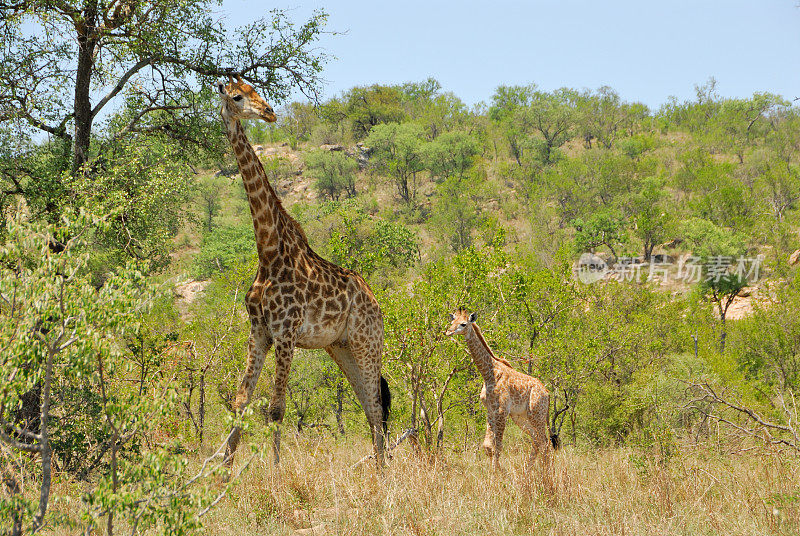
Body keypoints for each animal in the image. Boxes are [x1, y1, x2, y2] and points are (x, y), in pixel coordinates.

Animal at [216, 77, 390, 466]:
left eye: (254, 92)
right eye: (237, 96)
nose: (269, 112)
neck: (268, 252)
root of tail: (375, 301)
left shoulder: (286, 332)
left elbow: (276, 409)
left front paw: (276, 472)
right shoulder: (259, 331)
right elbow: (240, 401)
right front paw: (222, 470)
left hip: (367, 341)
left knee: (375, 406)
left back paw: (386, 474)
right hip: (340, 347)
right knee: (370, 405)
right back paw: (381, 472)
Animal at [446, 310, 552, 474]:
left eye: (463, 324)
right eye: (452, 321)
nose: (448, 332)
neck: (488, 372)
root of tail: (547, 393)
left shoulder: (502, 411)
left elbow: (498, 446)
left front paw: (498, 473)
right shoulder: (491, 410)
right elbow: (488, 447)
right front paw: (495, 471)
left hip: (537, 415)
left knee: (545, 443)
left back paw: (545, 475)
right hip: (521, 417)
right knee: (537, 441)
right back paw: (527, 472)